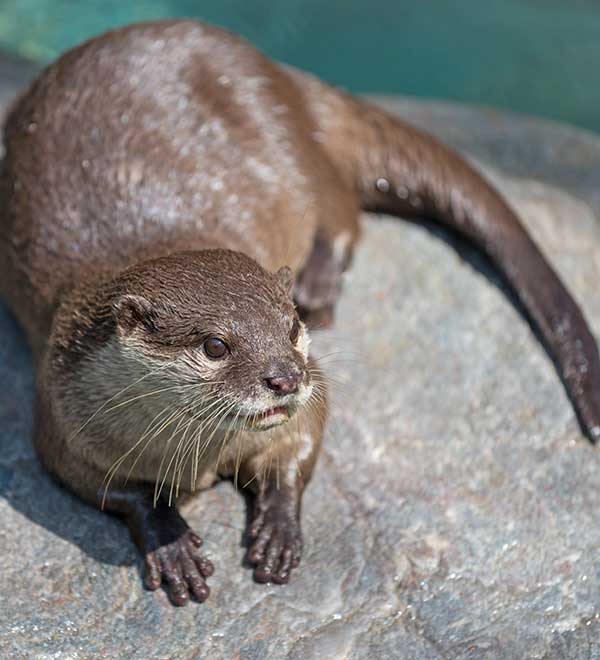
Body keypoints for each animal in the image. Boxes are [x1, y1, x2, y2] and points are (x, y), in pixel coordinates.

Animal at [2, 19, 596, 608]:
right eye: (215, 345)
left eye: (290, 328)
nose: (285, 378)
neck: (200, 459)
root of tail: (284, 78)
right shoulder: (63, 419)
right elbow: (115, 491)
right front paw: (169, 540)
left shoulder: (313, 392)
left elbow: (302, 441)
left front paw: (279, 527)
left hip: (290, 146)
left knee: (343, 210)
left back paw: (319, 279)